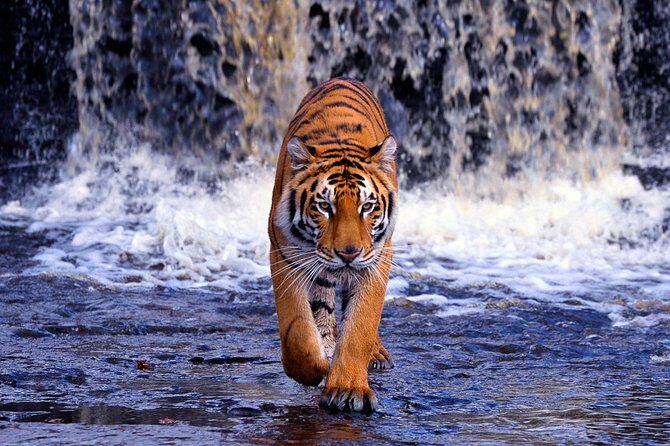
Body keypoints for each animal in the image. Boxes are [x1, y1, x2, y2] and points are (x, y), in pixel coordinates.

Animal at [268, 77, 398, 412]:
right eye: (325, 206)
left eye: (367, 206)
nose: (348, 253)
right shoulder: (285, 255)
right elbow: (297, 329)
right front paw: (314, 369)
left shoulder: (376, 260)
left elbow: (360, 325)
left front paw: (348, 388)